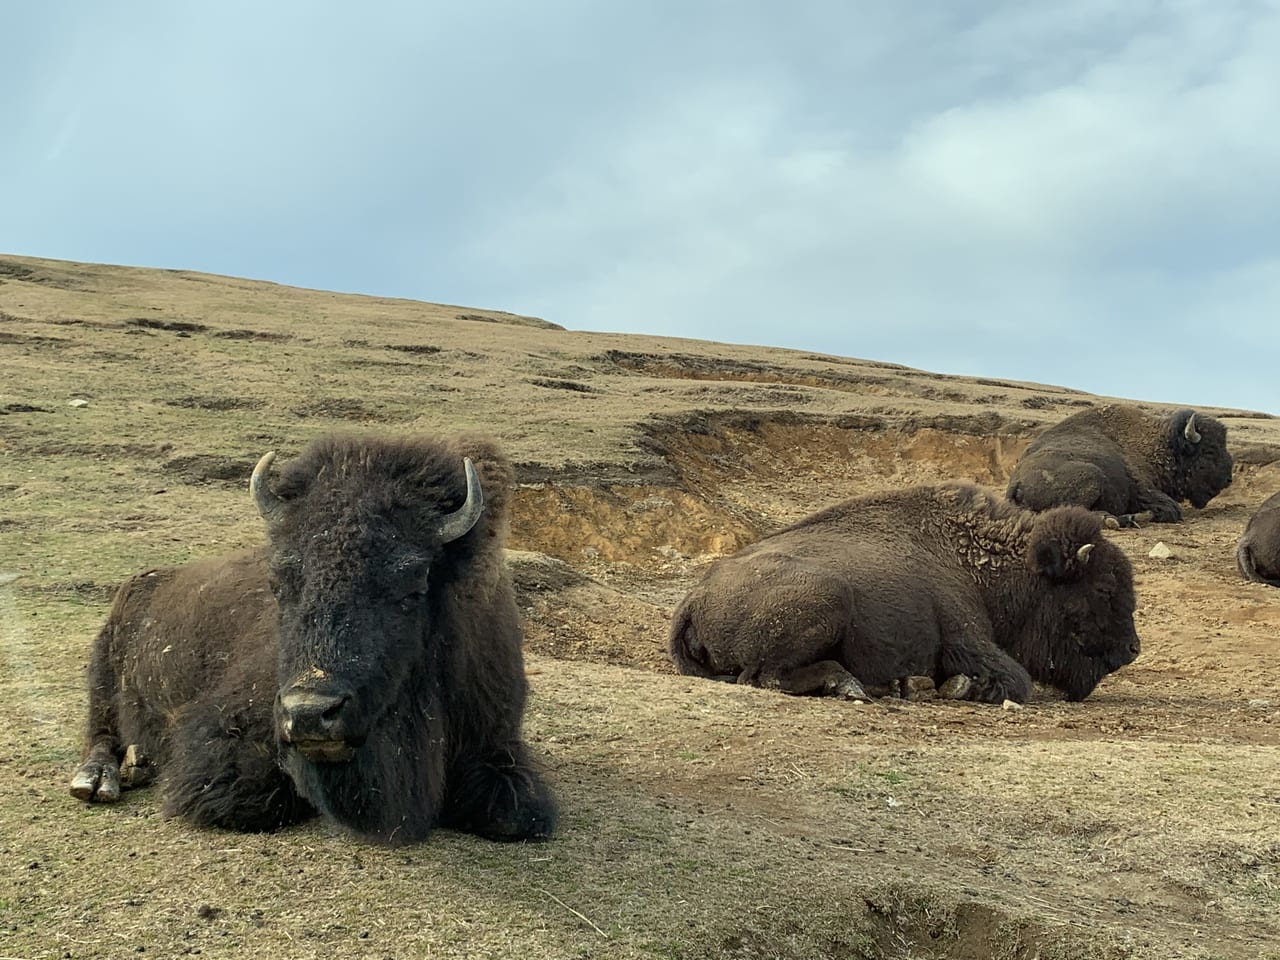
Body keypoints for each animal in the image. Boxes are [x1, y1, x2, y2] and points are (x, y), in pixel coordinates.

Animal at [66, 435, 555, 849]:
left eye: (413, 585)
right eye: (279, 582)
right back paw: (99, 779)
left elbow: (513, 815)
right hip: (103, 675)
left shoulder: (497, 740)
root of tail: (143, 581)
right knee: (100, 730)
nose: (310, 714)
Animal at [670, 483, 1141, 701]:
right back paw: (853, 685)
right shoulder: (968, 639)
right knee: (763, 677)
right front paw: (962, 688)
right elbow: (1015, 679)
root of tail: (694, 599)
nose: (1132, 649)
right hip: (830, 598)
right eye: (1104, 588)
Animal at [1003, 404, 1233, 529]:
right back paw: (1121, 519)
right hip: (1092, 476)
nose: (1228, 479)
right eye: (1209, 451)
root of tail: (1016, 482)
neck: (1159, 444)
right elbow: (1172, 509)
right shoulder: (1144, 490)